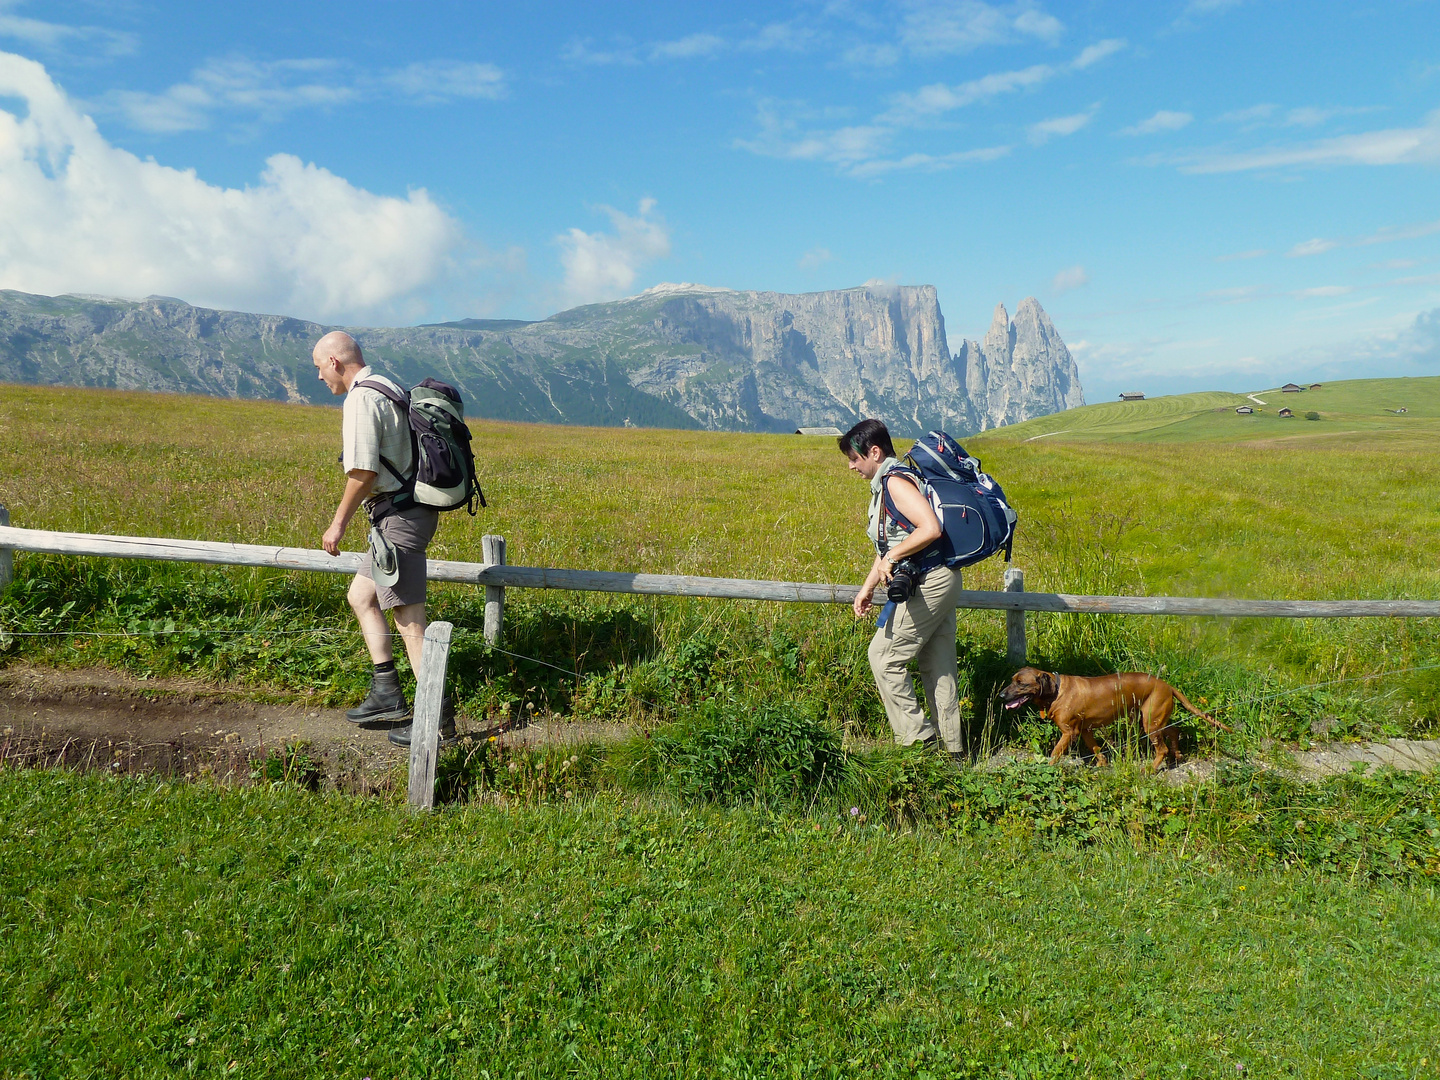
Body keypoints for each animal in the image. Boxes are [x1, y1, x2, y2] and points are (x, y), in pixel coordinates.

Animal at [996, 668, 1232, 771]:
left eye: (1021, 684)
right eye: (1012, 680)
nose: (1001, 696)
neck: (1056, 691)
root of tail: (1167, 685)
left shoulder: (1069, 733)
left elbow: (1055, 753)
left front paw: (1047, 767)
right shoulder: (1085, 731)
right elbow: (1096, 749)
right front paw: (1101, 764)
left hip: (1150, 723)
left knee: (1162, 749)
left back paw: (1152, 768)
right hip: (1151, 720)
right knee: (1174, 731)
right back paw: (1178, 755)